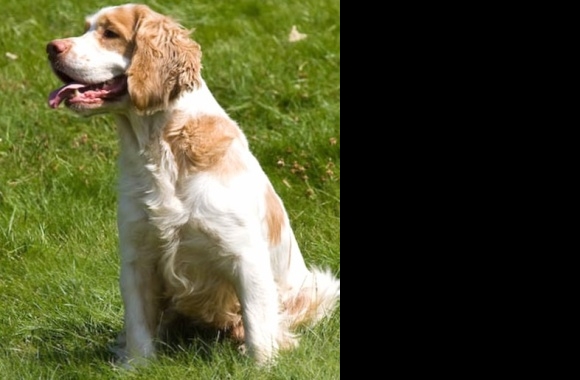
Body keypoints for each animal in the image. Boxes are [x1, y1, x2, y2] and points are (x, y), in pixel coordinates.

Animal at [47, 2, 342, 366]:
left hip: (320, 286)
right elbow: (138, 327)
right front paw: (137, 366)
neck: (162, 150)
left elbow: (258, 325)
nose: (51, 48)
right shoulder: (136, 256)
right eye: (86, 28)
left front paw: (262, 365)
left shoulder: (245, 256)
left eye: (110, 33)